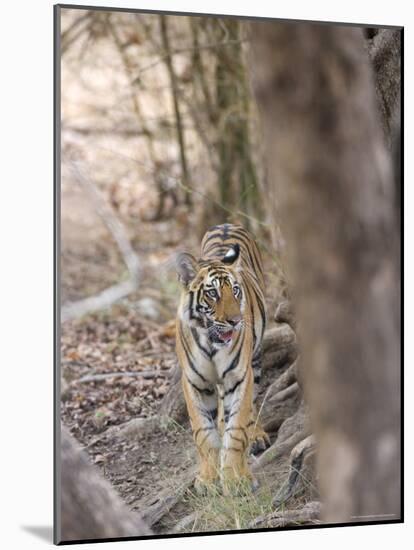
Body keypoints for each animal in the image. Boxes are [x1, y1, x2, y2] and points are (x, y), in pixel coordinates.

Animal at [174, 222, 268, 494]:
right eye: (213, 294)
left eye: (235, 291)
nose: (236, 321)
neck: (211, 344)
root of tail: (226, 223)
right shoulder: (194, 382)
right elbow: (203, 432)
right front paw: (208, 478)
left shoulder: (239, 378)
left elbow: (236, 428)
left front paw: (236, 479)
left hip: (255, 360)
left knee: (251, 405)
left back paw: (256, 435)